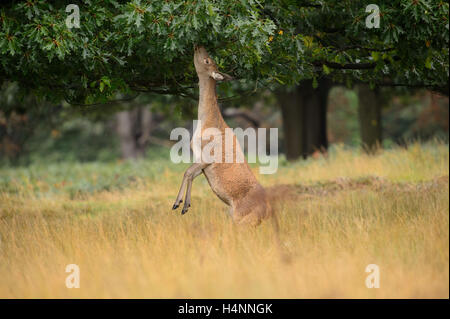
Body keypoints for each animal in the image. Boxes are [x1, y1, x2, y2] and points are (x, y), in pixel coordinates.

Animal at [172, 46, 276, 229]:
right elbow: (191, 173)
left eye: (207, 60)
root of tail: (267, 213)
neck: (205, 124)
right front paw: (185, 205)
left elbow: (187, 171)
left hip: (242, 220)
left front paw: (179, 204)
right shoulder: (201, 160)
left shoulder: (207, 155)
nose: (198, 45)